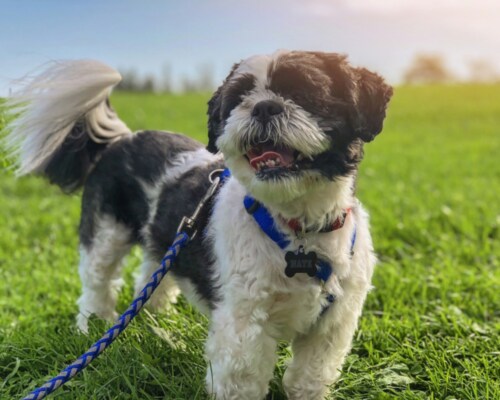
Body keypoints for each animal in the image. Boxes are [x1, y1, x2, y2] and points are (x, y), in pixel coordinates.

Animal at [5, 50, 392, 400]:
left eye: (306, 94)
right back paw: (93, 324)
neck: (298, 230)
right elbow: (242, 381)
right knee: (97, 281)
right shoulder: (242, 325)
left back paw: (157, 323)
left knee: (149, 279)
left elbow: (310, 377)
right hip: (106, 233)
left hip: (163, 243)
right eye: (238, 99)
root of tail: (122, 140)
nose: (264, 106)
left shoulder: (332, 325)